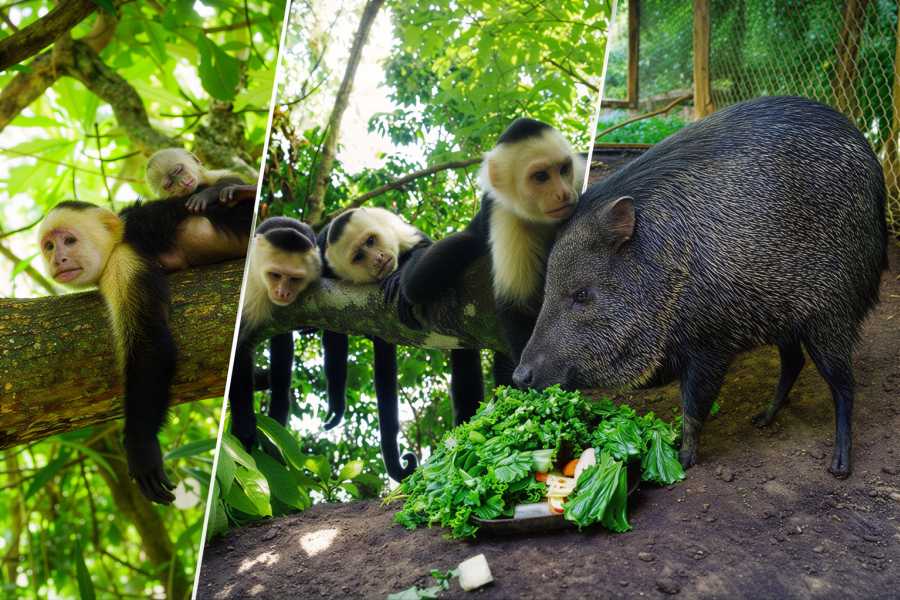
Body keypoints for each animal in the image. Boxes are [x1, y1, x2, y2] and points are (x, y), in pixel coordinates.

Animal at [38, 192, 254, 504]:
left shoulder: (123, 260)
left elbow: (150, 345)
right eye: (49, 246)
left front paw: (140, 447)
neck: (120, 235)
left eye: (69, 241)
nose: (58, 259)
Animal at [228, 216, 322, 451]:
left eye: (295, 279)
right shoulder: (251, 289)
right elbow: (240, 348)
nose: (283, 293)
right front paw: (244, 425)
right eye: (275, 275)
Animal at [318, 207, 484, 482]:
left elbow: (425, 249)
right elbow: (333, 332)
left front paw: (398, 277)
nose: (378, 258)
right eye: (359, 256)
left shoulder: (392, 226)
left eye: (371, 241)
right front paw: (336, 404)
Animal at [399, 118, 586, 386]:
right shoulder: (504, 215)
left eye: (563, 169)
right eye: (541, 177)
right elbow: (518, 307)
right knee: (428, 274)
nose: (563, 193)